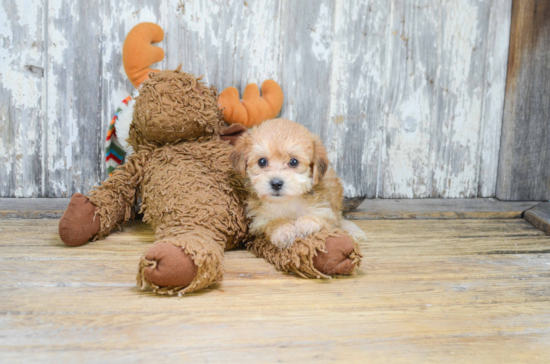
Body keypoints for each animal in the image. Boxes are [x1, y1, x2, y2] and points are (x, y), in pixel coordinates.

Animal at [231, 119, 368, 250]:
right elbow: (271, 223)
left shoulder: (325, 210)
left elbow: (324, 219)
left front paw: (306, 223)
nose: (276, 183)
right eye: (262, 161)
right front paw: (283, 229)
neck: (287, 201)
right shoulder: (259, 221)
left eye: (293, 162)